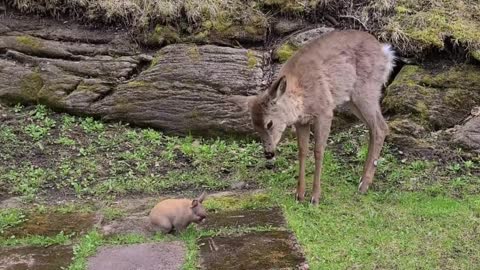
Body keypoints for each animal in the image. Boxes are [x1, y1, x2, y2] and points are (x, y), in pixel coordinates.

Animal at [232, 29, 394, 206]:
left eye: (269, 123)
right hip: (352, 100)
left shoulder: (325, 112)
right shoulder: (301, 122)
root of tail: (386, 52)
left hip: (366, 90)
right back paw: (363, 180)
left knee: (380, 127)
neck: (301, 97)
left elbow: (318, 151)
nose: (268, 153)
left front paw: (315, 197)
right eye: (255, 127)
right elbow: (302, 152)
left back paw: (364, 185)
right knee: (374, 128)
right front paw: (299, 194)